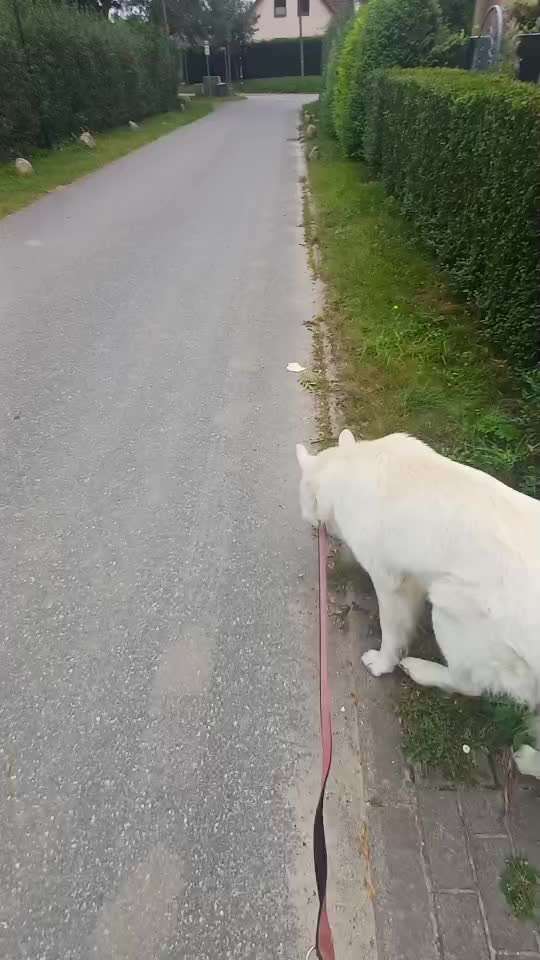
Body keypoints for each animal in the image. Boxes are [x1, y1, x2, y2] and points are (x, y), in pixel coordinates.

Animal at [298, 432, 540, 776]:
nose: (312, 525)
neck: (349, 466)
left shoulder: (388, 581)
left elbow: (391, 631)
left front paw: (382, 663)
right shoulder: (411, 579)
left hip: (450, 610)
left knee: (469, 684)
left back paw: (420, 670)